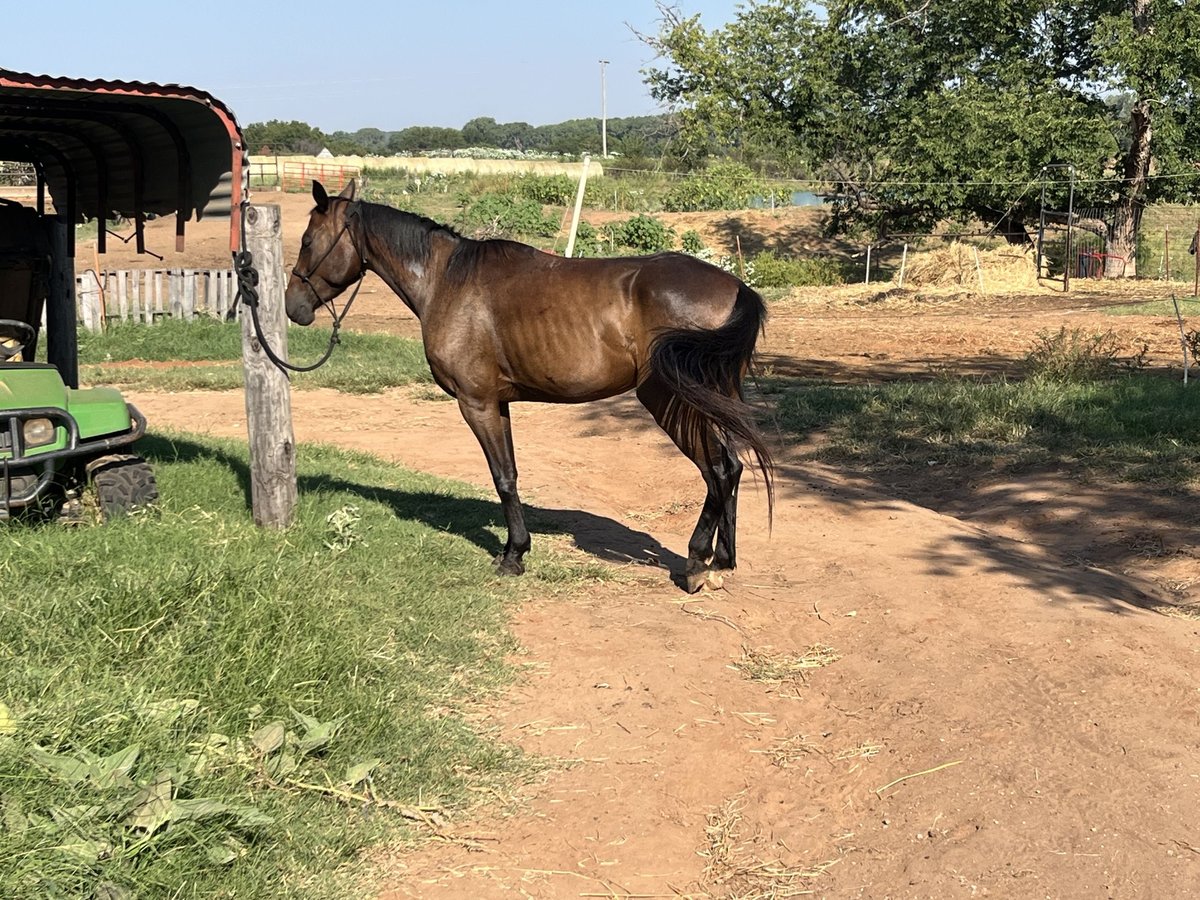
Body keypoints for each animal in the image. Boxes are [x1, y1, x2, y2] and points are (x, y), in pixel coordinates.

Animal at [285, 181, 772, 592]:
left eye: (307, 242)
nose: (293, 306)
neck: (448, 281)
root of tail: (736, 287)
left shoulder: (476, 403)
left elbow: (502, 477)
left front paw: (513, 556)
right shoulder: (497, 403)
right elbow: (512, 474)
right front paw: (513, 548)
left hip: (673, 403)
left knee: (718, 470)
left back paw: (695, 563)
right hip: (713, 402)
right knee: (732, 469)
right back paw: (722, 560)